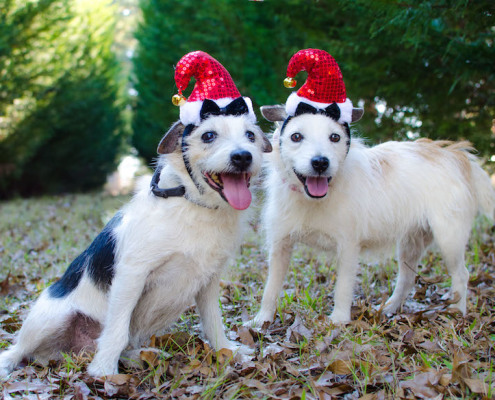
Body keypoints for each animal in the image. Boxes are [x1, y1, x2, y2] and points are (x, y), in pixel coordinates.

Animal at [0, 109, 272, 378]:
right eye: (208, 135)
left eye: (250, 135)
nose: (243, 157)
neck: (193, 204)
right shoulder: (132, 275)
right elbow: (117, 329)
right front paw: (103, 370)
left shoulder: (208, 281)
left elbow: (213, 321)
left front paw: (227, 351)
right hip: (49, 318)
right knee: (18, 349)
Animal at [250, 104, 494, 326]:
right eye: (296, 136)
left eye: (335, 137)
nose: (320, 163)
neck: (313, 198)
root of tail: (455, 155)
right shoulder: (280, 245)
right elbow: (271, 287)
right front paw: (261, 320)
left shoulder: (348, 247)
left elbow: (343, 287)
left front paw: (338, 321)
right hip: (411, 243)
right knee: (407, 278)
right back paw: (389, 309)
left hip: (449, 240)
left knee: (461, 275)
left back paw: (458, 312)